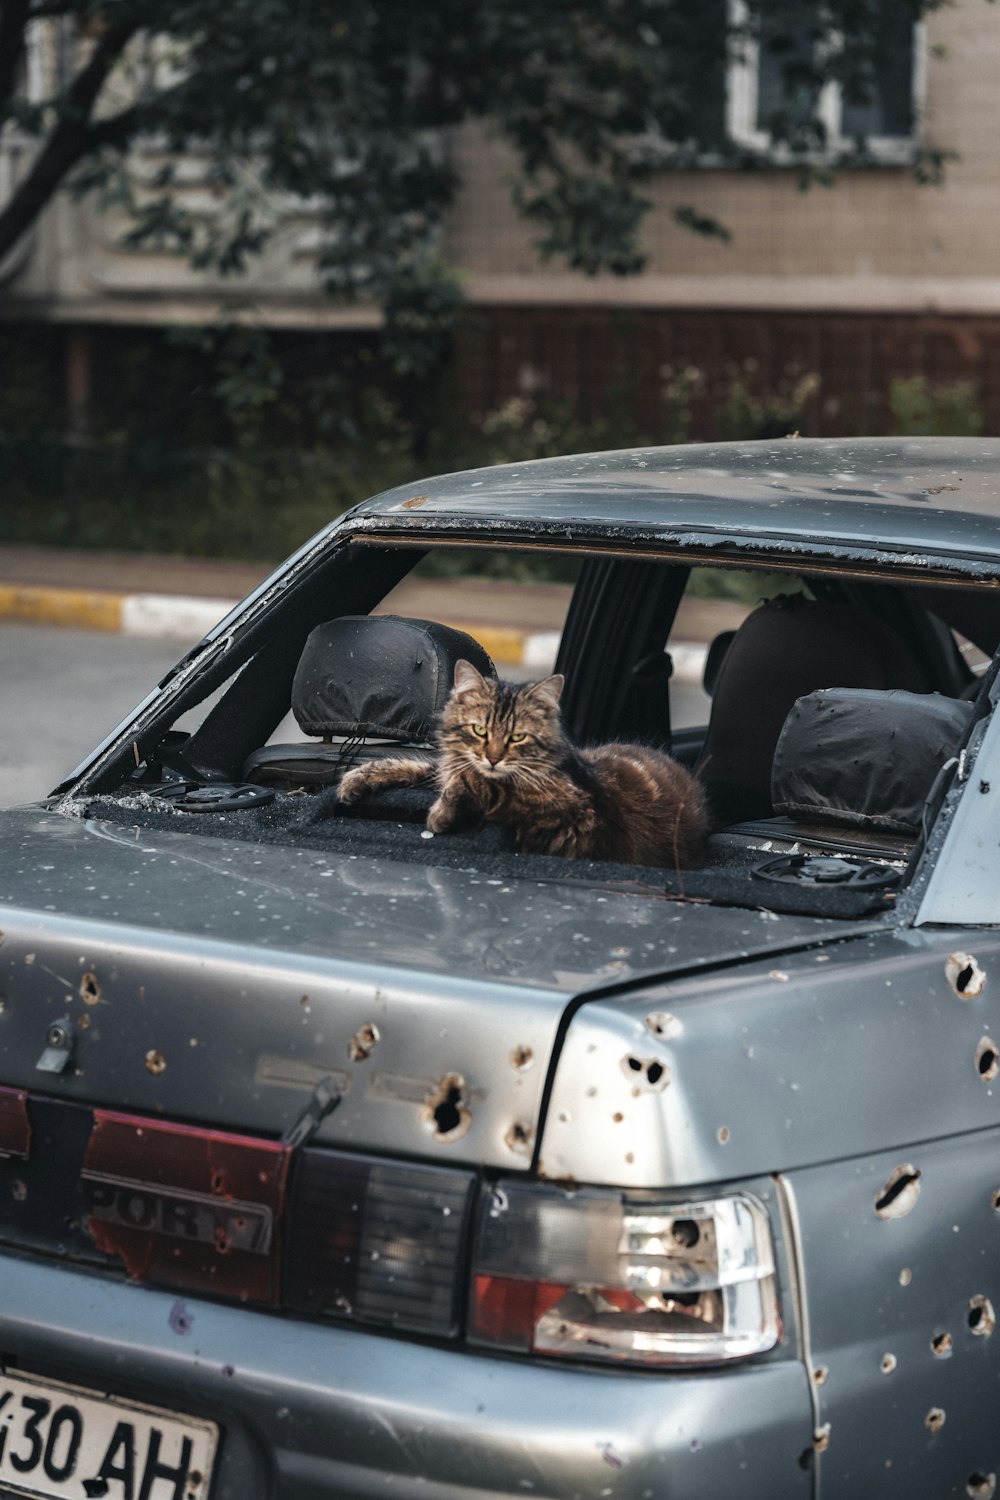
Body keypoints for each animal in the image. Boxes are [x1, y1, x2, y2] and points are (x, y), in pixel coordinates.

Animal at [332, 660, 707, 870]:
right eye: (480, 730)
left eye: (517, 738)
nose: (493, 757)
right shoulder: (451, 765)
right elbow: (416, 766)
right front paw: (356, 780)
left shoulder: (570, 808)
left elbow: (484, 783)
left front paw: (442, 813)